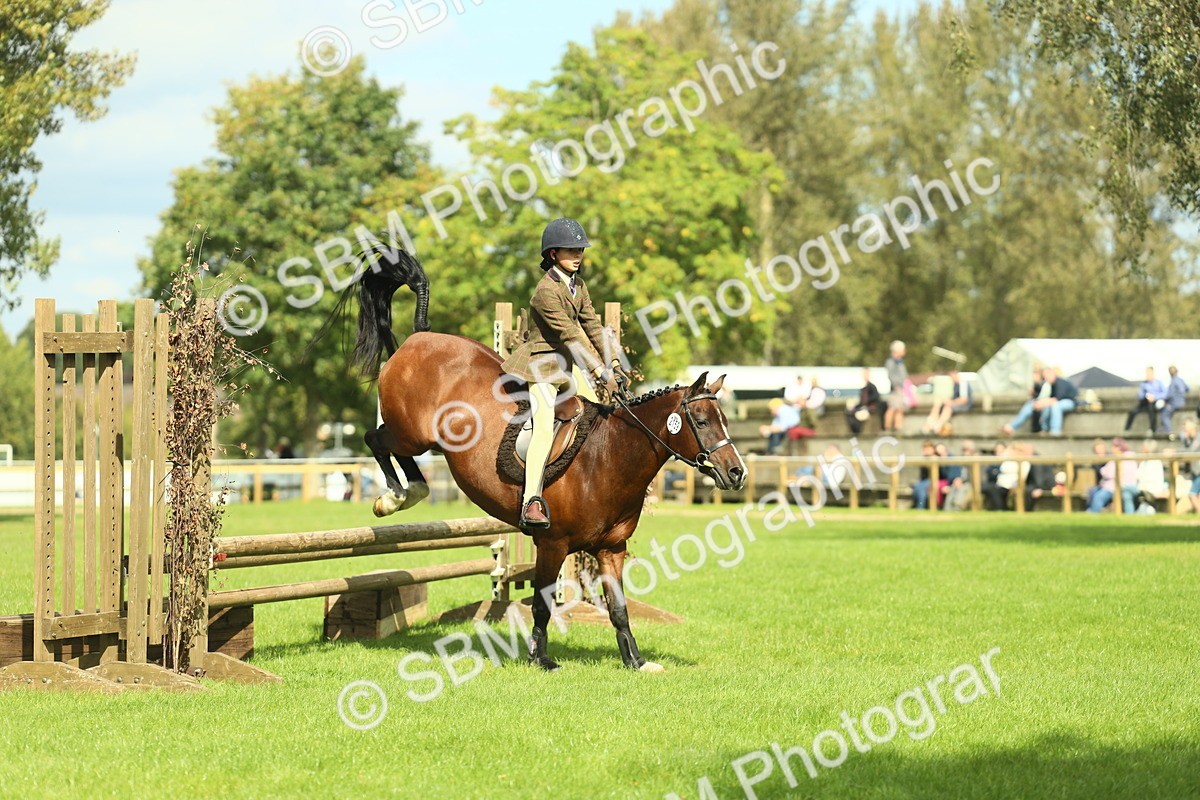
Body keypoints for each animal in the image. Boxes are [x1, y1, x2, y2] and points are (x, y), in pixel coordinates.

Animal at [351, 244, 747, 671]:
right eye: (702, 421)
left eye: (724, 420)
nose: (737, 473)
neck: (608, 458)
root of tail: (421, 337)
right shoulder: (552, 544)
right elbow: (543, 606)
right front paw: (540, 658)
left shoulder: (611, 549)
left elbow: (618, 608)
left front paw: (636, 661)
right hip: (410, 432)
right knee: (376, 440)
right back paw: (394, 498)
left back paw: (408, 492)